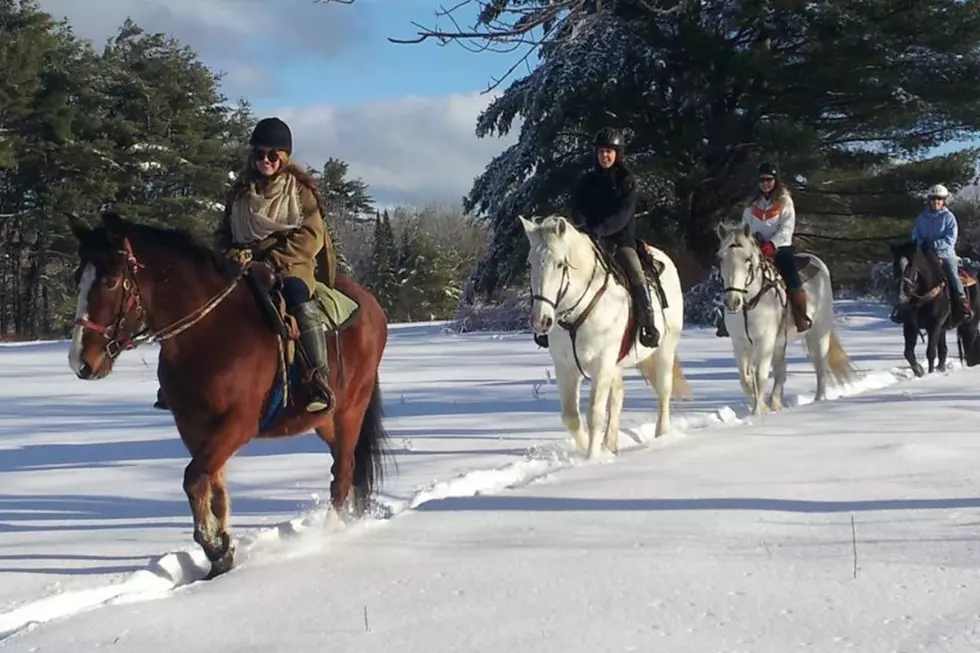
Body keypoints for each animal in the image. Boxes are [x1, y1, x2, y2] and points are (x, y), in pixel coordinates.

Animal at [66, 211, 394, 580]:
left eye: (110, 280)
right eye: (78, 279)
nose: (81, 362)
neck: (208, 334)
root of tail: (372, 305)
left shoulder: (239, 422)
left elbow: (194, 478)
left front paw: (213, 545)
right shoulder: (193, 427)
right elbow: (213, 486)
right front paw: (222, 551)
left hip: (351, 409)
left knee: (344, 470)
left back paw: (332, 531)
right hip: (323, 419)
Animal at [520, 215, 688, 458]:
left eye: (560, 263)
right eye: (530, 263)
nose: (540, 321)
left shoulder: (601, 365)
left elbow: (595, 415)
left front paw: (592, 458)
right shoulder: (566, 368)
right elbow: (571, 417)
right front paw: (590, 452)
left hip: (665, 347)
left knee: (663, 391)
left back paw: (661, 436)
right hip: (616, 364)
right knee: (618, 396)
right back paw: (611, 445)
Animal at [712, 220, 856, 412]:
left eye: (747, 259)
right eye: (721, 257)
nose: (732, 301)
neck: (751, 303)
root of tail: (817, 261)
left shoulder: (765, 341)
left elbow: (759, 377)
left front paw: (758, 411)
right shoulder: (740, 343)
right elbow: (746, 380)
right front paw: (760, 406)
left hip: (818, 334)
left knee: (820, 367)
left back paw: (818, 400)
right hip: (780, 342)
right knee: (781, 370)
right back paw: (775, 403)